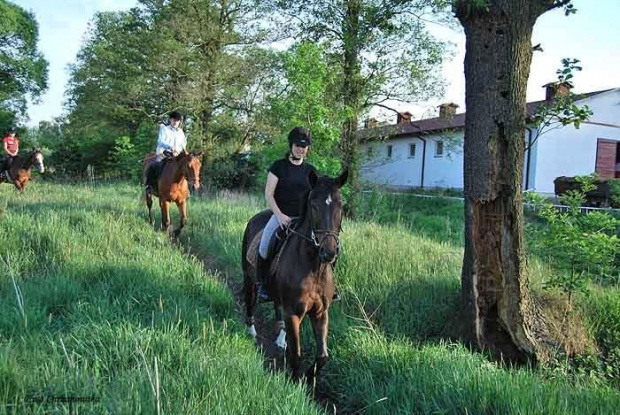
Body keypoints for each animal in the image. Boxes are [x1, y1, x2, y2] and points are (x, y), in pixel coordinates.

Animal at [242, 170, 348, 384]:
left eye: (340, 206)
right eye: (314, 205)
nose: (329, 252)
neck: (314, 268)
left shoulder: (320, 312)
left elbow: (323, 356)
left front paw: (309, 376)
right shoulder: (293, 313)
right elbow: (296, 354)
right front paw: (296, 382)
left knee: (276, 306)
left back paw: (280, 339)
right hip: (249, 280)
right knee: (250, 302)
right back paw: (252, 332)